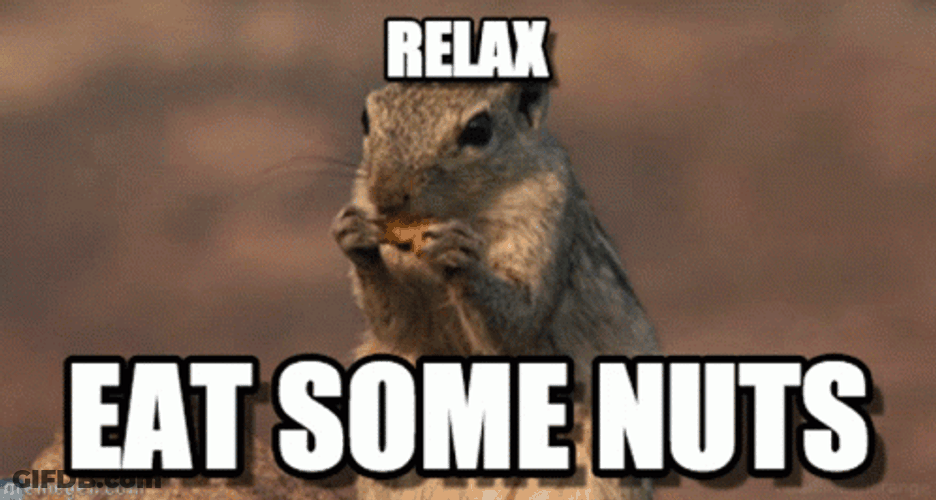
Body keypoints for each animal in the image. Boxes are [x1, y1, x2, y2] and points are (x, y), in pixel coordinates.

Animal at [332, 81, 658, 500]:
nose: (385, 196)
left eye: (478, 130)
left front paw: (460, 258)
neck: (465, 209)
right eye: (365, 117)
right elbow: (399, 323)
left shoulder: (546, 218)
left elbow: (519, 326)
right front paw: (355, 237)